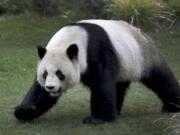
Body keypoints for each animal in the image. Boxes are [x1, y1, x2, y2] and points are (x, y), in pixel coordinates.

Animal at [14, 19, 180, 124]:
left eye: (60, 74)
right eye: (45, 74)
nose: (50, 87)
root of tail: (142, 32)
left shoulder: (97, 51)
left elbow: (102, 84)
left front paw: (99, 118)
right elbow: (38, 91)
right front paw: (25, 111)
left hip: (143, 56)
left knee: (161, 79)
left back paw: (172, 106)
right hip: (125, 63)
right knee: (118, 86)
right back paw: (116, 110)